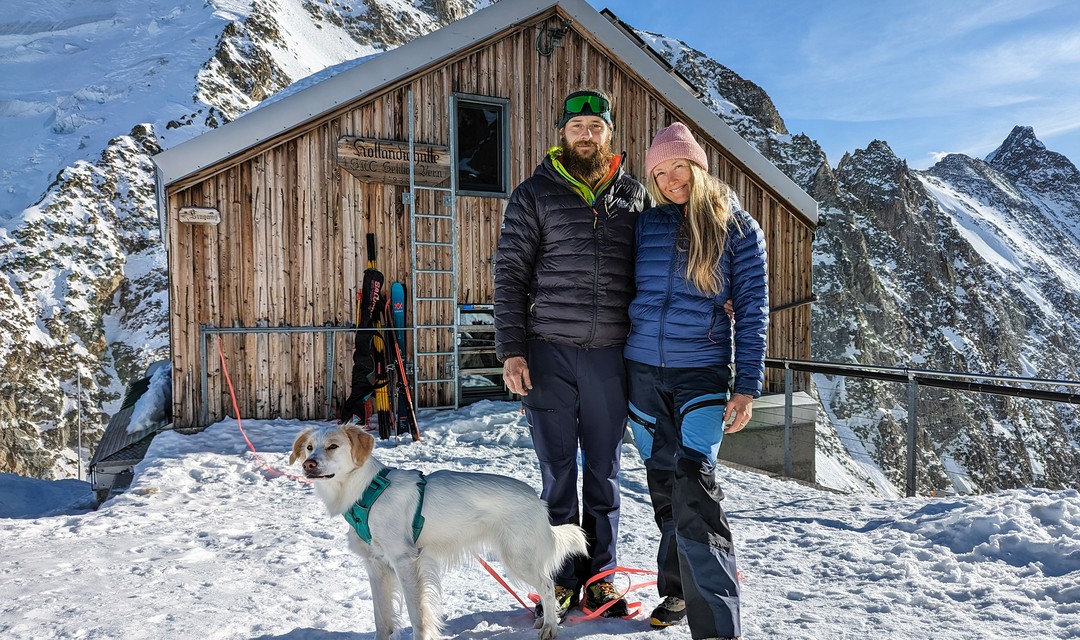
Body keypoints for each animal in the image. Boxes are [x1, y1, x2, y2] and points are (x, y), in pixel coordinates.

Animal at [291, 425, 587, 638]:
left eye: (333, 446)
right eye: (309, 448)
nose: (308, 464)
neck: (366, 492)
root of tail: (536, 499)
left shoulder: (406, 561)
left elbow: (418, 617)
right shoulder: (376, 565)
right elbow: (382, 620)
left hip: (518, 558)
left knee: (547, 586)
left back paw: (550, 626)